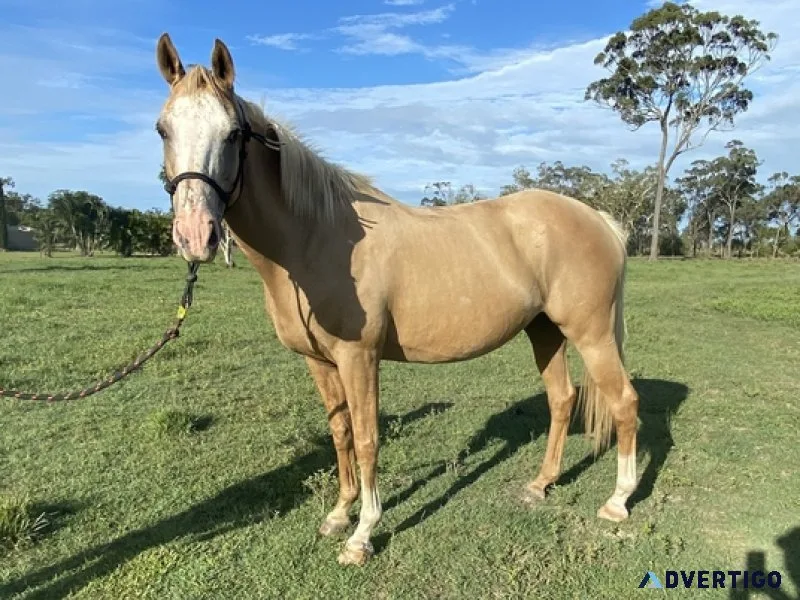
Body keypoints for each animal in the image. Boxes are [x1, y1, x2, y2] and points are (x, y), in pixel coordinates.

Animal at [154, 33, 640, 567]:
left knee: (623, 402)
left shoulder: (359, 357)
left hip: (591, 334)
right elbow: (341, 432)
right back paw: (540, 485)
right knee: (562, 399)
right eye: (163, 129)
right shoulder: (319, 362)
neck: (316, 237)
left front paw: (362, 534)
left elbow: (368, 438)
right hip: (545, 331)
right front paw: (338, 515)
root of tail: (599, 218)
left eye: (233, 133)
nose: (195, 235)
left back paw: (617, 502)